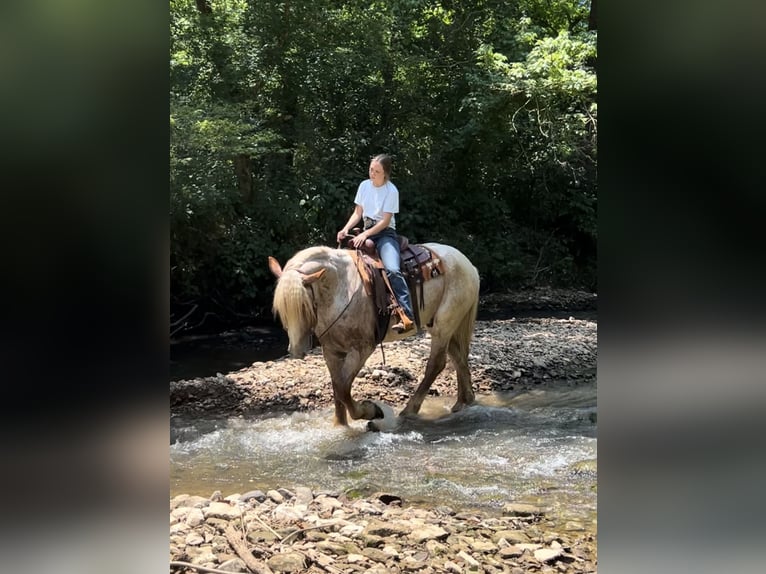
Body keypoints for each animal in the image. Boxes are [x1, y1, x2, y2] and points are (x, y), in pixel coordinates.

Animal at [268, 243, 476, 428]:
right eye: (282, 310)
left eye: (304, 307)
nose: (296, 351)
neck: (340, 288)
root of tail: (468, 264)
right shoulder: (331, 351)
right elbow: (337, 388)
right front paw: (340, 426)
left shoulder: (361, 349)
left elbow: (343, 389)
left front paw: (372, 411)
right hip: (446, 326)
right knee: (459, 358)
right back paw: (464, 402)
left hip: (443, 325)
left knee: (436, 364)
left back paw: (409, 410)